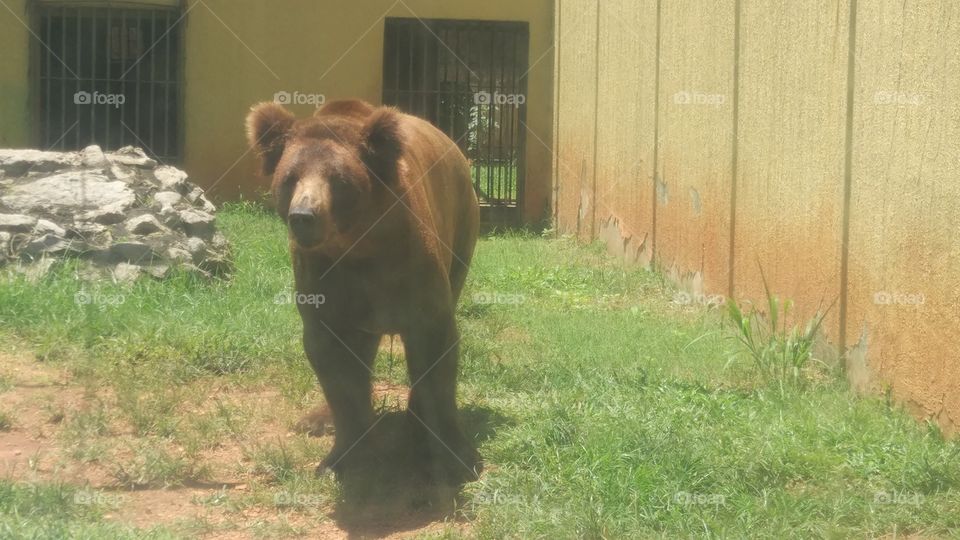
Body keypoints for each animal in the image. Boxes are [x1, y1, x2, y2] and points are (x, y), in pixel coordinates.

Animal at [245, 99, 481, 482]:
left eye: (338, 179)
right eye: (290, 177)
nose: (303, 216)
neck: (358, 245)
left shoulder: (412, 267)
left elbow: (435, 348)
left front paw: (453, 453)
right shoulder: (325, 278)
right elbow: (334, 363)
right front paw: (342, 455)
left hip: (460, 226)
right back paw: (316, 419)